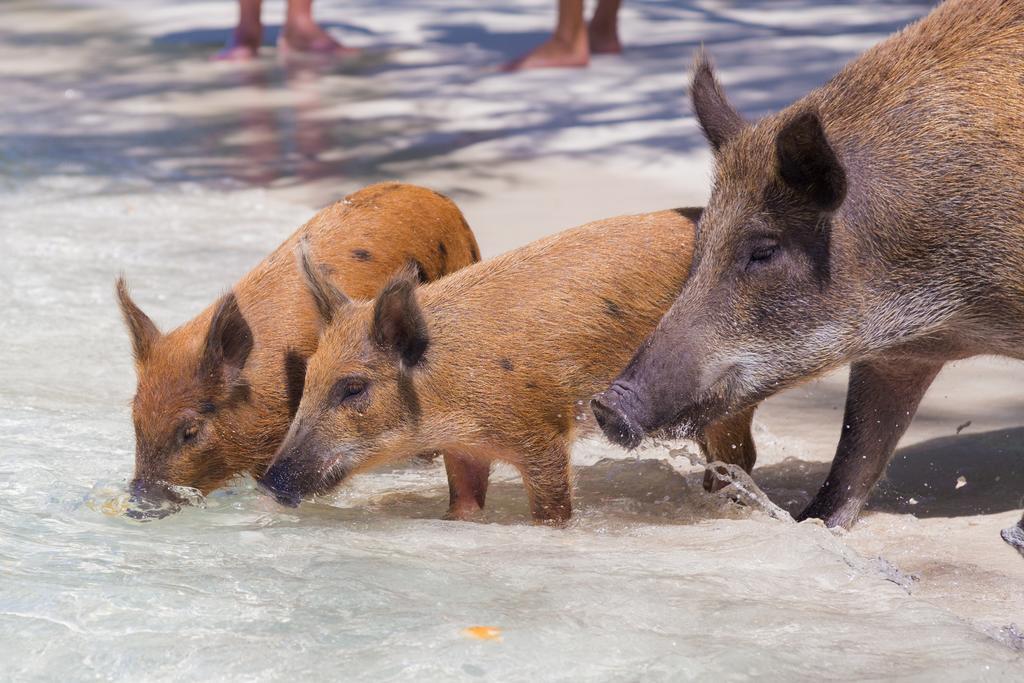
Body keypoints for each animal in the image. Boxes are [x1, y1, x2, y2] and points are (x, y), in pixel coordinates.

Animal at [260, 208, 757, 524]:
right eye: (307, 380)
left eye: (353, 387)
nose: (267, 482)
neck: (451, 387)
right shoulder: (463, 451)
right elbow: (462, 503)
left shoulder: (543, 433)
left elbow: (552, 509)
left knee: (740, 456)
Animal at [593, 0, 1024, 548]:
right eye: (700, 241)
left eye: (764, 250)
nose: (607, 405)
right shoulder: (897, 357)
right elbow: (857, 453)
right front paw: (811, 524)